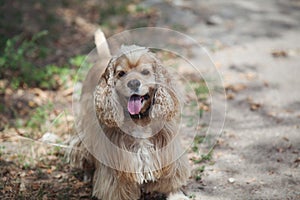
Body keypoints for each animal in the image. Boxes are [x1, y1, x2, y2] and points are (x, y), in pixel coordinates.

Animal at [68, 28, 190, 199]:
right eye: (121, 74)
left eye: (145, 72)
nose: (133, 83)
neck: (139, 119)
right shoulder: (115, 165)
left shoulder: (167, 150)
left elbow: (172, 177)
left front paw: (176, 194)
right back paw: (87, 174)